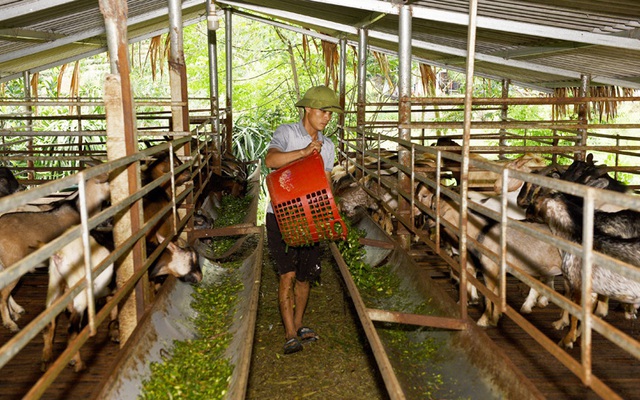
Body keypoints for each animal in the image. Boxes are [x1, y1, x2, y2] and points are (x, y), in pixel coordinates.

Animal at [524, 188, 640, 346]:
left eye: (533, 202)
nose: (525, 213)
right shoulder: (592, 291)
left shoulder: (578, 285)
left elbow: (575, 313)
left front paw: (567, 338)